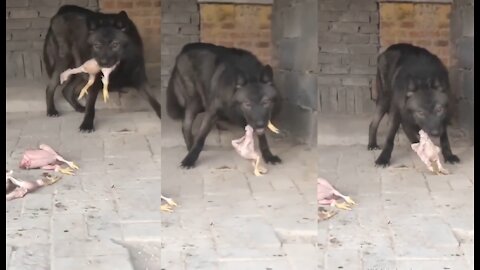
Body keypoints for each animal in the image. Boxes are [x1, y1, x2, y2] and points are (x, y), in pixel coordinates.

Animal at [42, 3, 161, 131]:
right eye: (97, 45)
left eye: (115, 44)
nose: (102, 63)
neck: (120, 67)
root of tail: (60, 12)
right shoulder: (94, 82)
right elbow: (90, 106)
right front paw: (87, 124)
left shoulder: (140, 80)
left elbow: (154, 100)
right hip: (65, 62)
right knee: (50, 87)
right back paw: (51, 110)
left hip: (80, 69)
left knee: (66, 90)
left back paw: (78, 107)